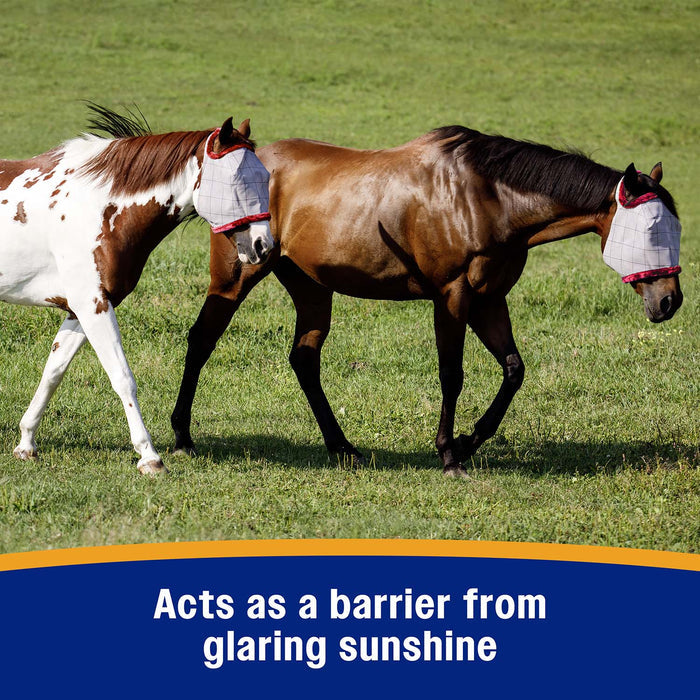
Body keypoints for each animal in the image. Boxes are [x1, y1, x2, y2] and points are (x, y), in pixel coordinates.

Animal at [0, 105, 274, 474]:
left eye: (265, 177)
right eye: (237, 180)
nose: (263, 246)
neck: (99, 207)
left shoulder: (80, 309)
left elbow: (52, 372)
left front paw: (26, 443)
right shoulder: (93, 306)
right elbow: (122, 377)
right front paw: (149, 456)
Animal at [169, 126, 683, 476]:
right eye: (652, 229)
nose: (670, 301)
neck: (486, 198)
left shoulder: (489, 300)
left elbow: (513, 370)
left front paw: (469, 440)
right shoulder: (452, 297)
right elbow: (452, 375)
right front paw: (449, 452)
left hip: (312, 288)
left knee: (304, 360)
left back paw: (342, 447)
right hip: (236, 276)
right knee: (202, 341)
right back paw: (182, 435)